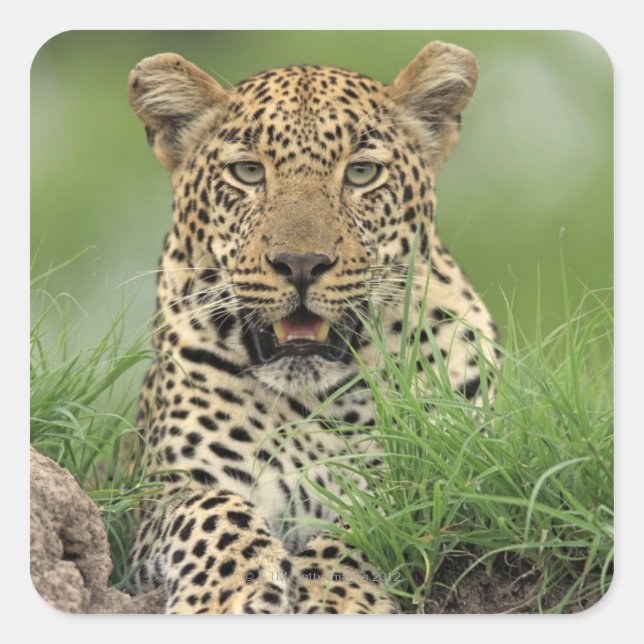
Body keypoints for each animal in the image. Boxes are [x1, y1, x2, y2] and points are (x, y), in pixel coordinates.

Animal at [125, 40, 500, 614]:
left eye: (362, 173)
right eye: (249, 172)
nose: (300, 263)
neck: (322, 406)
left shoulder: (454, 471)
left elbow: (371, 518)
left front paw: (335, 599)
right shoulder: (162, 496)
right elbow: (212, 511)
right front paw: (228, 594)